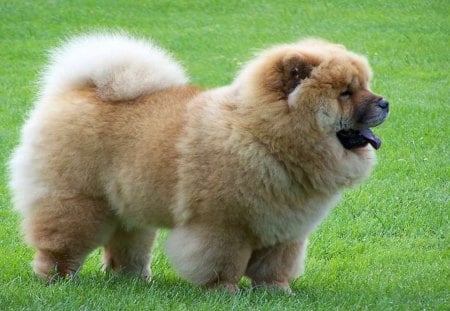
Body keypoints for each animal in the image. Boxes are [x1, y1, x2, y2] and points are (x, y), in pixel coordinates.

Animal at [8, 33, 388, 294]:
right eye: (345, 93)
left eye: (366, 85)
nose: (384, 102)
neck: (261, 134)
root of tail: (78, 91)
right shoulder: (223, 225)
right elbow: (224, 261)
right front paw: (225, 292)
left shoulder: (286, 228)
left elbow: (275, 265)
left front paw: (277, 292)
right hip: (76, 200)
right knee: (62, 241)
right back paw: (57, 279)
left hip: (129, 203)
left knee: (127, 246)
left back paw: (134, 280)